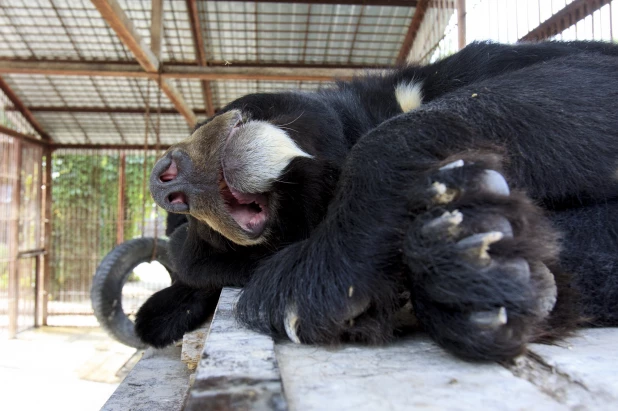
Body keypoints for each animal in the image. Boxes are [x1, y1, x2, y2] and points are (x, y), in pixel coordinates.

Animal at [135, 39, 616, 360]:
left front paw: (310, 278)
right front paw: (476, 259)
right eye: (206, 239)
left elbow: (585, 75)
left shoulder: (439, 78)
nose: (166, 183)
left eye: (205, 121)